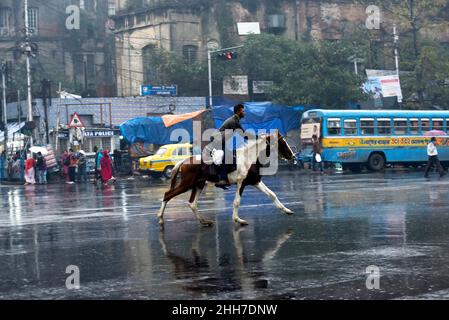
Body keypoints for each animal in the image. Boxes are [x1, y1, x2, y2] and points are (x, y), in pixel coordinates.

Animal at [156, 131, 296, 228]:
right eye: (282, 142)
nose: (293, 156)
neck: (250, 157)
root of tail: (184, 161)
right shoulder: (241, 183)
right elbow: (236, 202)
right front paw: (238, 220)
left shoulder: (255, 181)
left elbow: (272, 194)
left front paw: (287, 210)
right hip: (187, 184)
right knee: (168, 194)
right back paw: (161, 218)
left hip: (199, 184)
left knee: (192, 203)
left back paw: (204, 221)